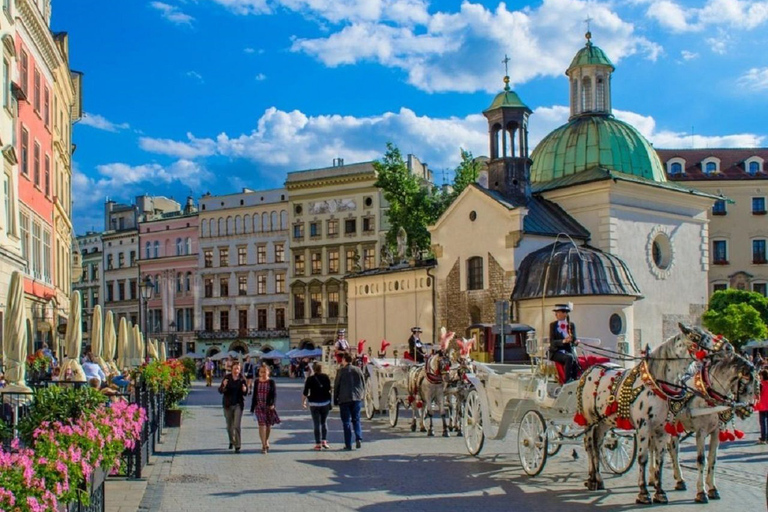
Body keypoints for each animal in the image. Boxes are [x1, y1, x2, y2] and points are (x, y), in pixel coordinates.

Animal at [580, 324, 716, 504]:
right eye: (696, 337)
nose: (724, 349)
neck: (657, 383)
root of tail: (591, 369)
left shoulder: (662, 429)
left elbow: (660, 459)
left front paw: (659, 492)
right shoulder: (643, 427)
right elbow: (643, 458)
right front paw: (643, 492)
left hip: (604, 422)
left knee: (597, 445)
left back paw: (598, 479)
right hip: (589, 420)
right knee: (589, 446)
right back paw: (592, 480)